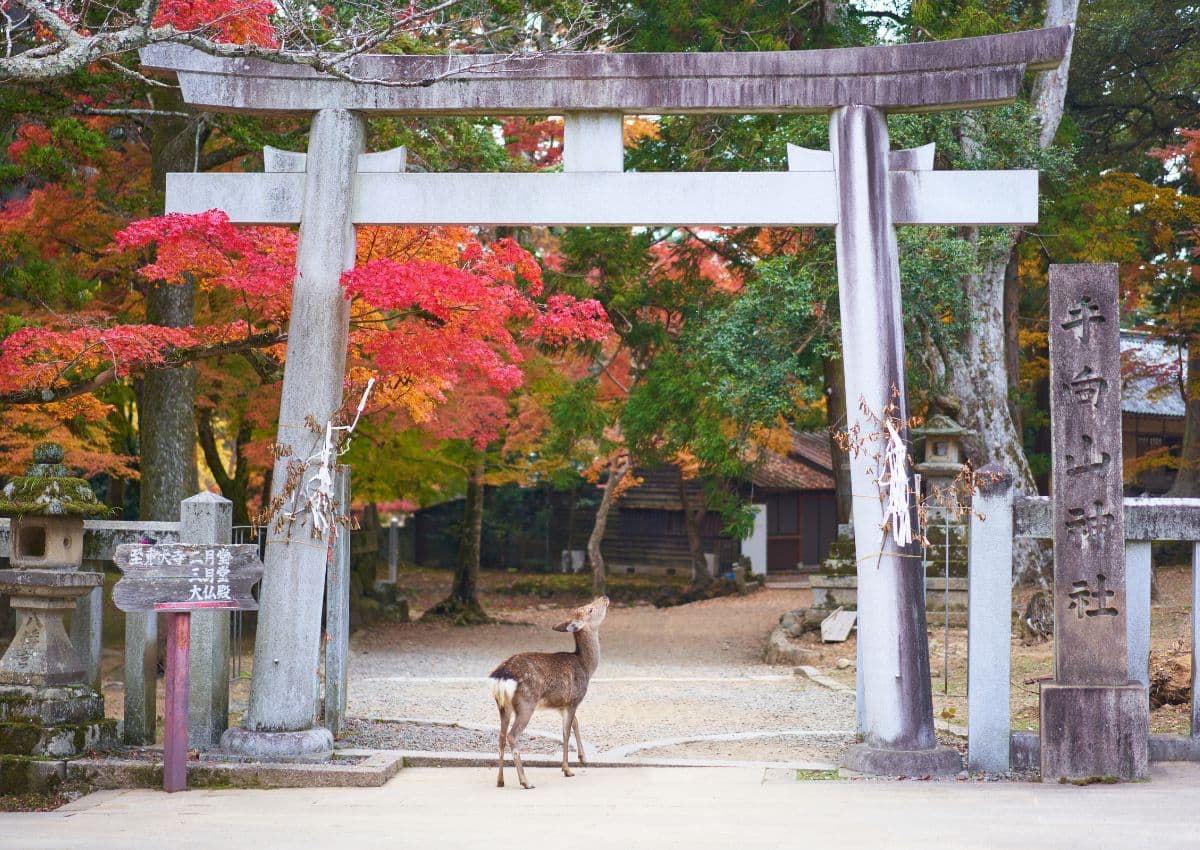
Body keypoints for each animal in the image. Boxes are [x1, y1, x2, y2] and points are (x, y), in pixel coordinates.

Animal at [487, 595, 609, 789]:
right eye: (589, 609)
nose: (604, 597)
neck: (586, 666)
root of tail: (501, 676)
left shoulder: (561, 704)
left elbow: (575, 723)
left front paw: (583, 758)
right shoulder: (574, 699)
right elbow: (566, 733)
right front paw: (567, 769)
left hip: (502, 706)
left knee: (501, 736)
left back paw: (500, 781)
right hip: (526, 703)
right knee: (512, 736)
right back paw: (525, 781)